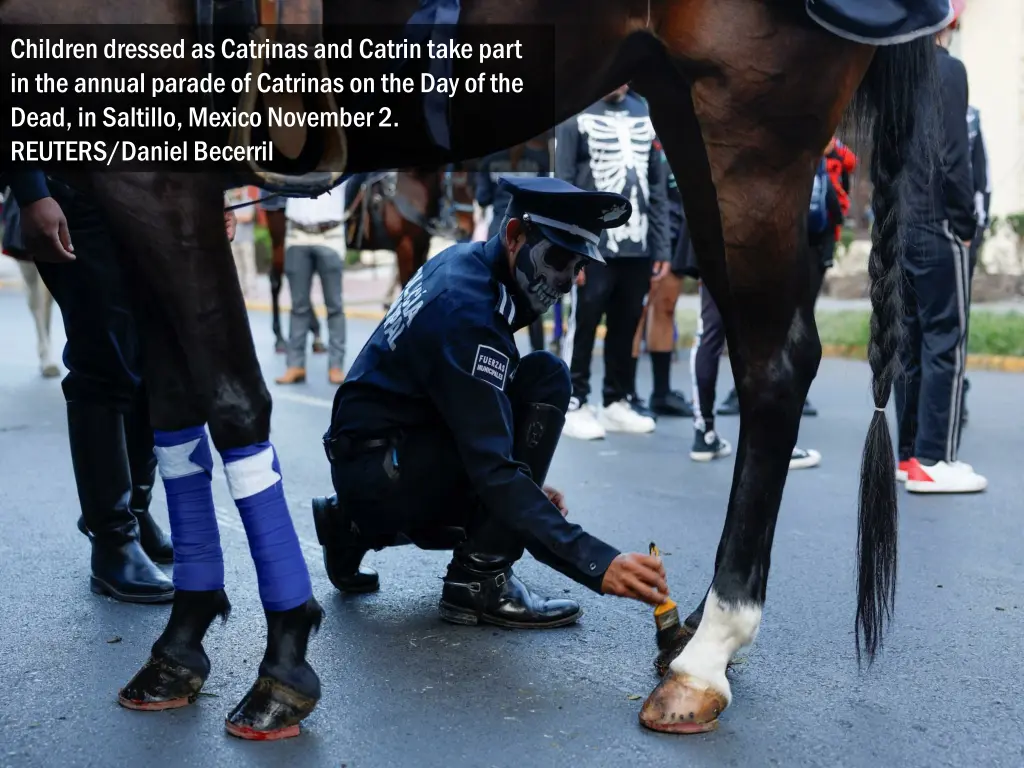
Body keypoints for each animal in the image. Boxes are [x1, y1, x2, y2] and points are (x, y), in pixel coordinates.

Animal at [2, 0, 942, 741]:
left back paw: (707, 647)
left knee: (772, 364)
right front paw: (185, 642)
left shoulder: (152, 148)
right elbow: (174, 410)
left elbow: (230, 401)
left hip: (746, 113)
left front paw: (281, 656)